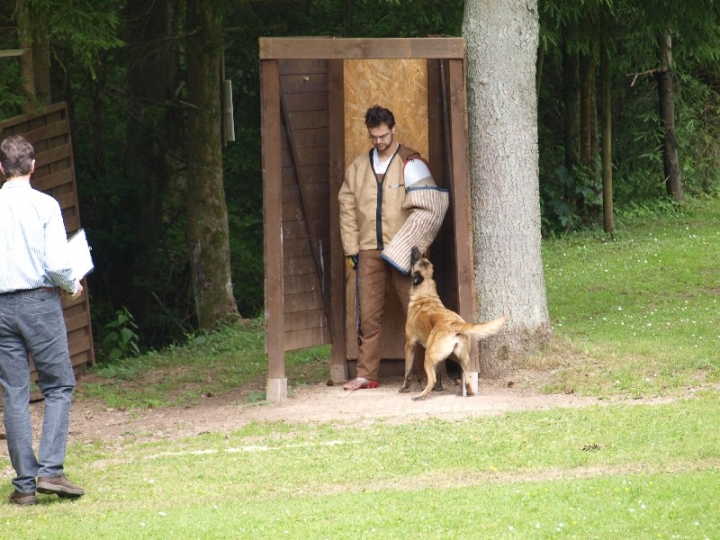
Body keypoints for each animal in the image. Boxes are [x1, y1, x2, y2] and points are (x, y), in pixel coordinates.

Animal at [400, 247, 506, 398]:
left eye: (415, 260)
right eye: (421, 258)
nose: (414, 247)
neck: (426, 294)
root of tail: (454, 323)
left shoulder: (410, 345)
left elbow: (407, 371)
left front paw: (404, 387)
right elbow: (439, 372)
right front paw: (439, 388)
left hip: (429, 356)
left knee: (431, 379)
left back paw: (421, 396)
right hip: (463, 359)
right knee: (467, 379)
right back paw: (469, 392)